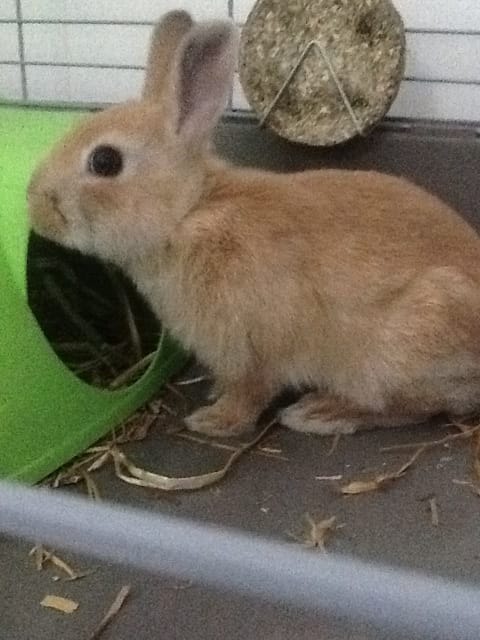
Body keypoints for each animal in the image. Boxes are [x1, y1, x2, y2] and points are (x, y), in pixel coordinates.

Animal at [28, 10, 480, 438]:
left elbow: (250, 393)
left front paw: (213, 421)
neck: (188, 215)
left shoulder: (252, 349)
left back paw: (320, 413)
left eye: (105, 161)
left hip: (395, 352)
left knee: (413, 407)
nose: (35, 206)